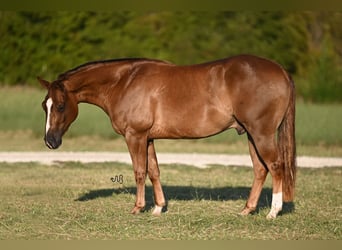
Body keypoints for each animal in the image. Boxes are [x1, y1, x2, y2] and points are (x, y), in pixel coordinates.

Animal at [38, 55, 296, 219]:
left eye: (60, 106)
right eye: (44, 106)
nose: (50, 141)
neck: (124, 82)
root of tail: (281, 70)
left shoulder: (135, 136)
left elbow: (139, 172)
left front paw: (138, 208)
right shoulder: (148, 138)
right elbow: (154, 171)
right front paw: (158, 208)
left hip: (261, 134)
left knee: (276, 166)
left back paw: (273, 212)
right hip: (250, 134)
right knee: (260, 170)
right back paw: (247, 210)